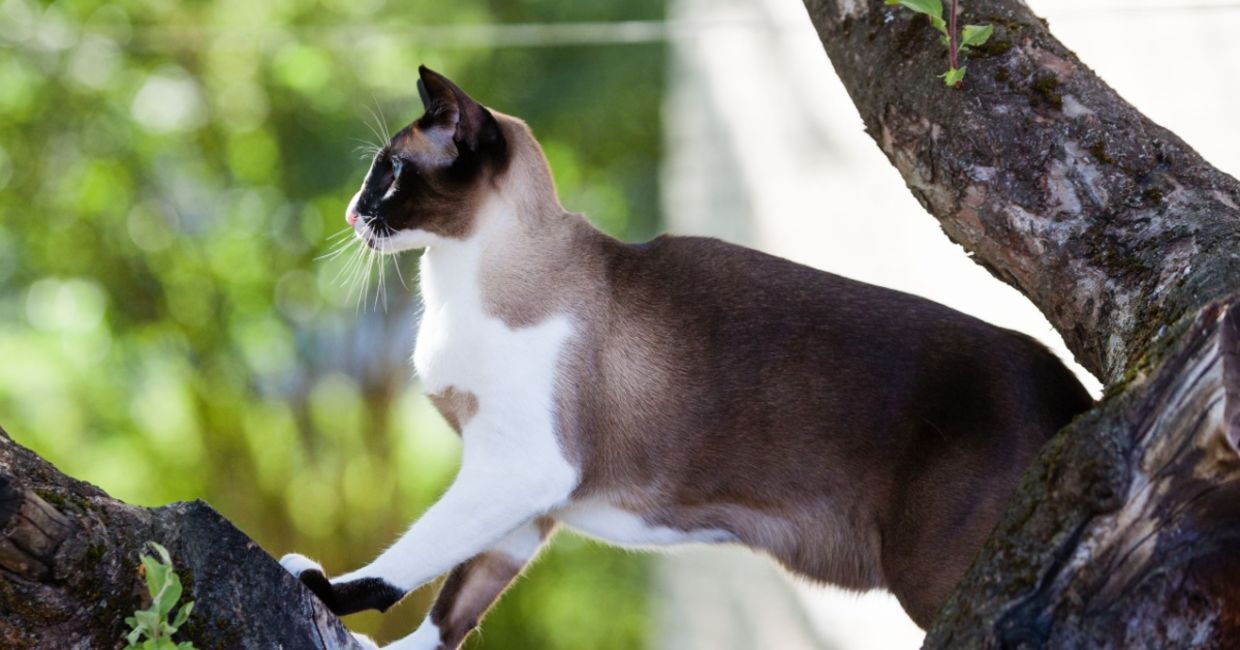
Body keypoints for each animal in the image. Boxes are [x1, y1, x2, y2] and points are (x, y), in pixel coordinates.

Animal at [281, 67, 1096, 650]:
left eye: (388, 172)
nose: (352, 213)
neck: (461, 281)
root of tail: (1077, 391)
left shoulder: (519, 467)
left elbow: (404, 565)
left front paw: (320, 586)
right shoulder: (526, 497)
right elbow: (455, 606)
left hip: (938, 578)